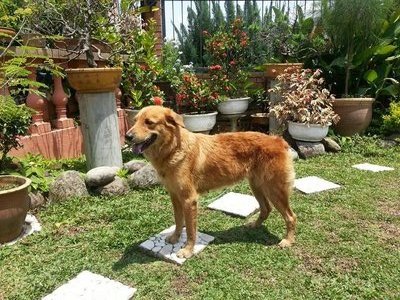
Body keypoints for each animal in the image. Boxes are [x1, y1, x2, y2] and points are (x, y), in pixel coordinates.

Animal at [126, 105, 296, 258]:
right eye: (134, 121)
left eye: (149, 122)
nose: (127, 136)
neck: (174, 149)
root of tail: (278, 140)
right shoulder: (175, 196)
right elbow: (178, 221)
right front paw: (175, 238)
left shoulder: (189, 200)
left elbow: (190, 230)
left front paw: (188, 250)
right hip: (257, 186)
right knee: (266, 208)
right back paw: (255, 225)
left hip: (274, 190)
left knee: (291, 216)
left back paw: (288, 241)